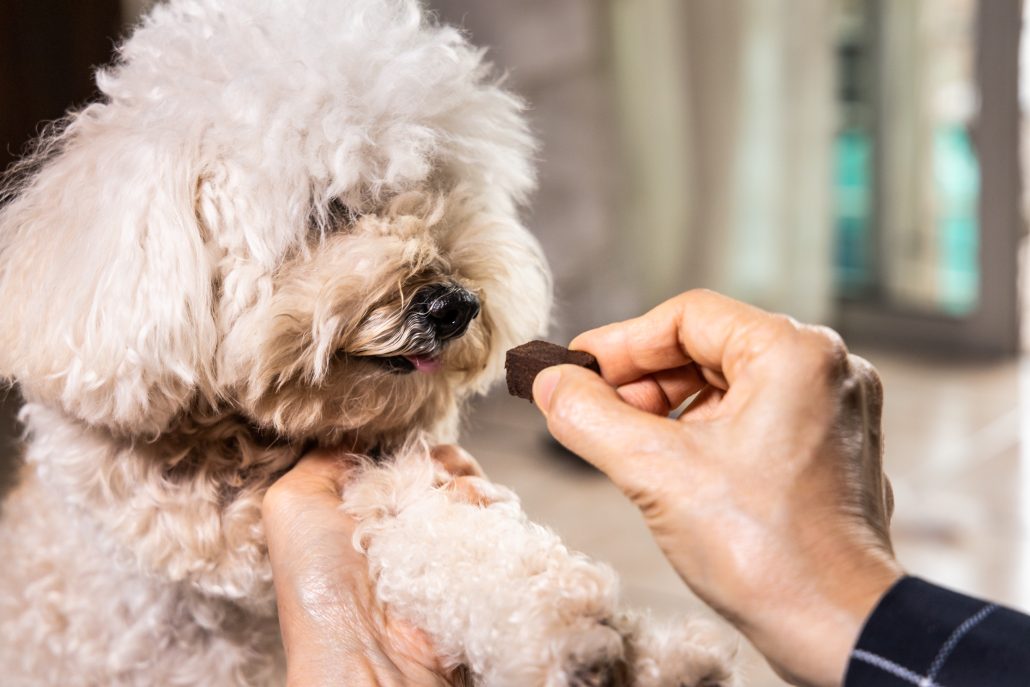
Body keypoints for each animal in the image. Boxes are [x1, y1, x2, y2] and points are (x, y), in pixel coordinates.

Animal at [0, 2, 737, 683]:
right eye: (329, 209)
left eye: (435, 188)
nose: (454, 305)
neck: (245, 439)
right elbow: (400, 522)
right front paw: (561, 629)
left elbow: (430, 527)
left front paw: (627, 644)